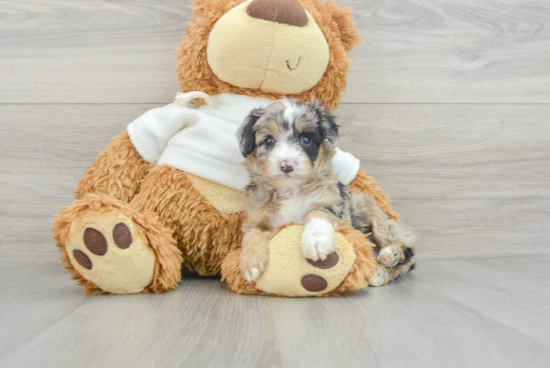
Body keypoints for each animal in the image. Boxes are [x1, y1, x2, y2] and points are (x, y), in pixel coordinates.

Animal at [237, 99, 418, 286]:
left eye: (306, 140)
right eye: (269, 141)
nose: (287, 165)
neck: (291, 189)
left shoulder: (333, 202)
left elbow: (317, 213)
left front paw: (316, 241)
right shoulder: (256, 218)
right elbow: (251, 234)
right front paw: (250, 263)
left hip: (376, 216)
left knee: (408, 251)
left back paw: (391, 255)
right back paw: (378, 272)